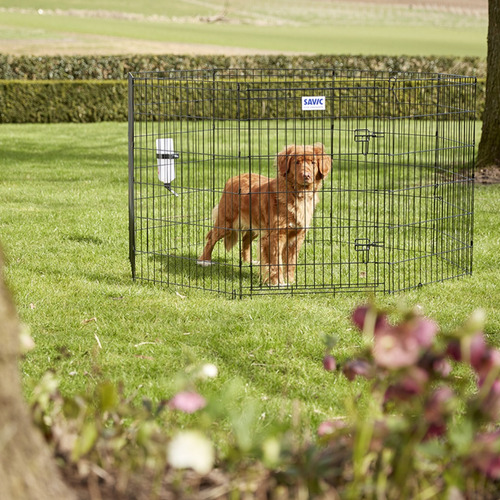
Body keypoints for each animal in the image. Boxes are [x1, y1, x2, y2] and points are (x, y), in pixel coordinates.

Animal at [196, 143, 332, 288]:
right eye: (297, 162)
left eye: (313, 162)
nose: (306, 175)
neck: (297, 194)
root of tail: (234, 177)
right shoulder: (275, 236)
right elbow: (275, 263)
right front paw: (277, 283)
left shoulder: (296, 237)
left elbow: (291, 263)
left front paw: (290, 281)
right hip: (226, 223)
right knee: (211, 238)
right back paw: (204, 260)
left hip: (256, 226)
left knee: (245, 239)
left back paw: (248, 261)